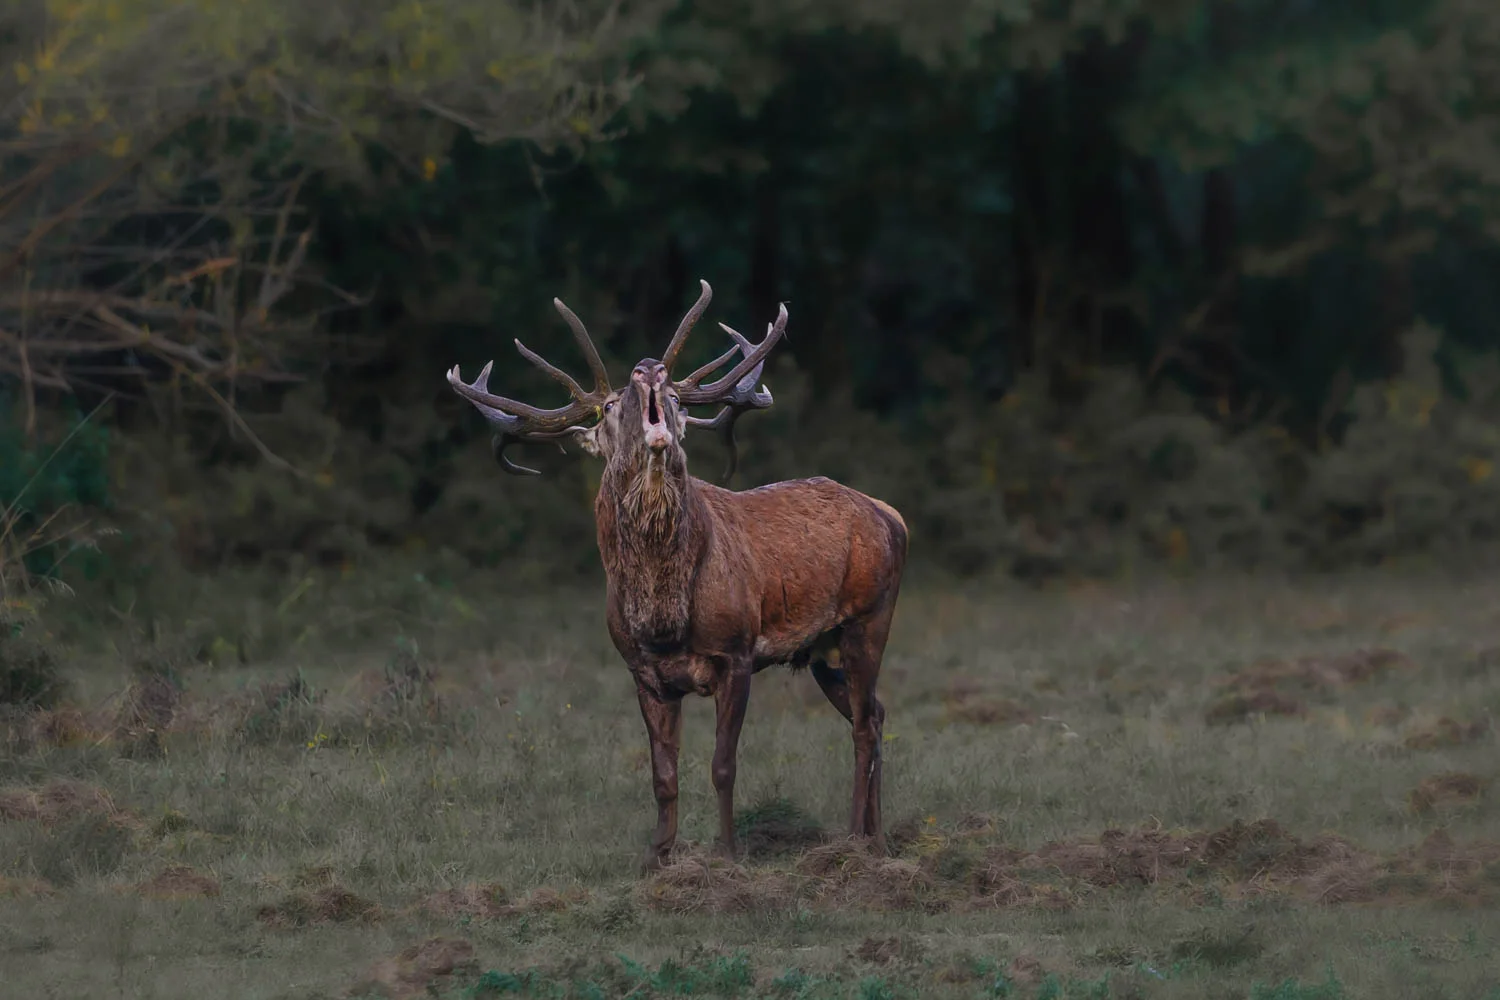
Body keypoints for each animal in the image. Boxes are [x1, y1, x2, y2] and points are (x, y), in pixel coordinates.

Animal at [445, 280, 907, 871]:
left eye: (680, 402)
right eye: (607, 407)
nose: (649, 368)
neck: (664, 617)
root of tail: (891, 515)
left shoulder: (737, 652)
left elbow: (723, 766)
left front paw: (727, 853)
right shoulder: (642, 671)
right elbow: (663, 776)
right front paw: (657, 858)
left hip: (869, 616)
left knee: (866, 726)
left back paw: (856, 840)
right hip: (822, 649)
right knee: (875, 712)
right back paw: (876, 837)